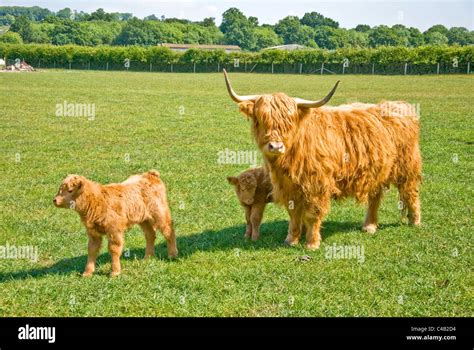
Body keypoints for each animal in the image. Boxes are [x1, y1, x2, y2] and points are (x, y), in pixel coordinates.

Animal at [223, 69, 422, 249]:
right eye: (260, 120)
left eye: (289, 122)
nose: (276, 146)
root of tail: (400, 106)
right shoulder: (289, 187)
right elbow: (293, 214)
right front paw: (291, 239)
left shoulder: (317, 185)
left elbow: (312, 215)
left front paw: (312, 243)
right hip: (376, 170)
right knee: (375, 197)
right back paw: (369, 226)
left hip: (407, 167)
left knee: (410, 192)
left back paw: (415, 221)